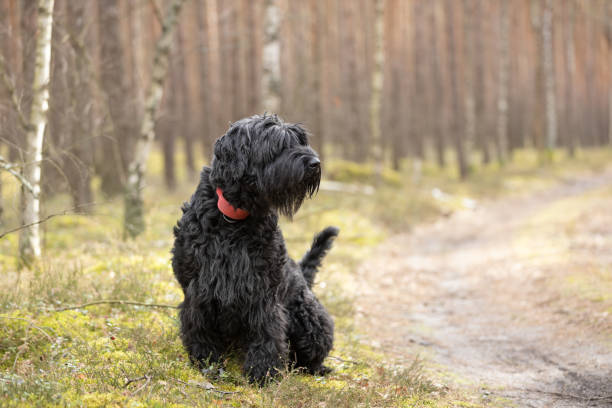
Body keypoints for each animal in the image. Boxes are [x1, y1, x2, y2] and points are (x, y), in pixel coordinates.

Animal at [170, 114, 338, 382]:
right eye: (277, 144)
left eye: (300, 140)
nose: (315, 163)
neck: (234, 219)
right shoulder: (198, 289)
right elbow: (199, 326)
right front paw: (206, 362)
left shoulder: (263, 290)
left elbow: (266, 329)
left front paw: (263, 372)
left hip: (310, 322)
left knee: (311, 353)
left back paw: (315, 368)